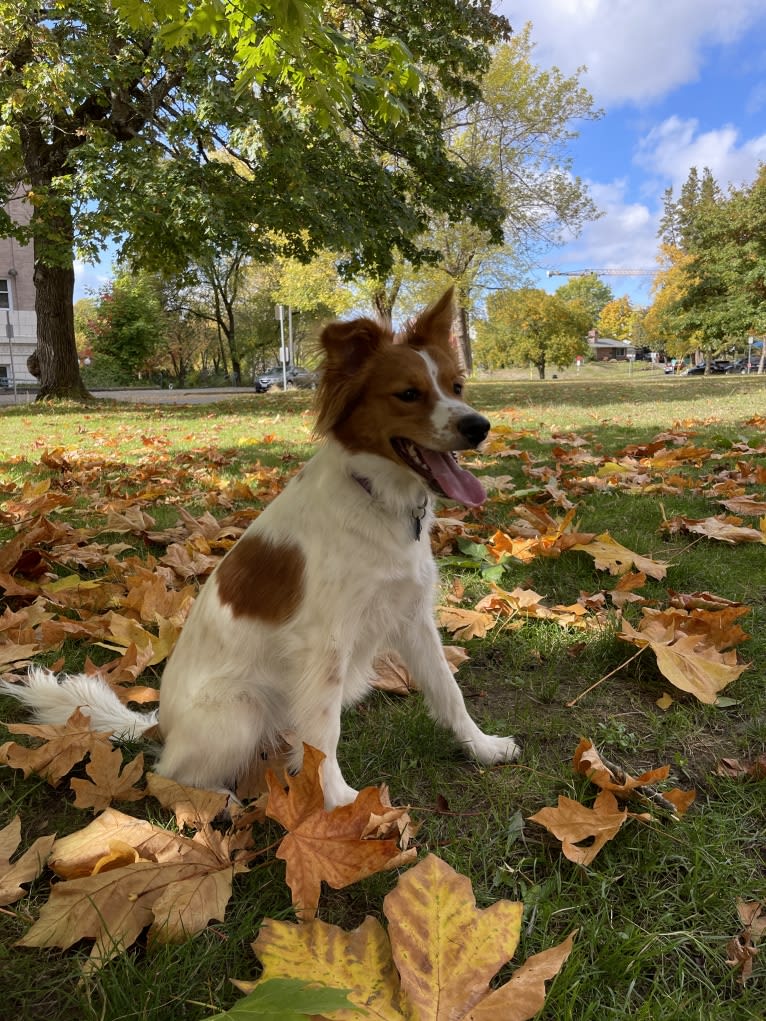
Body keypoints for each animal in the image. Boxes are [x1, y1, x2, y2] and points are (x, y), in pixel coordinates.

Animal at [1, 287, 522, 804]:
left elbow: (448, 690)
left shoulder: (413, 618)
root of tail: (161, 724)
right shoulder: (324, 644)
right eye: (408, 394)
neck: (376, 497)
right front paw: (339, 801)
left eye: (457, 387)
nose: (479, 426)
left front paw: (482, 746)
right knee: (169, 773)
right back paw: (217, 803)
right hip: (240, 709)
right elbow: (324, 733)